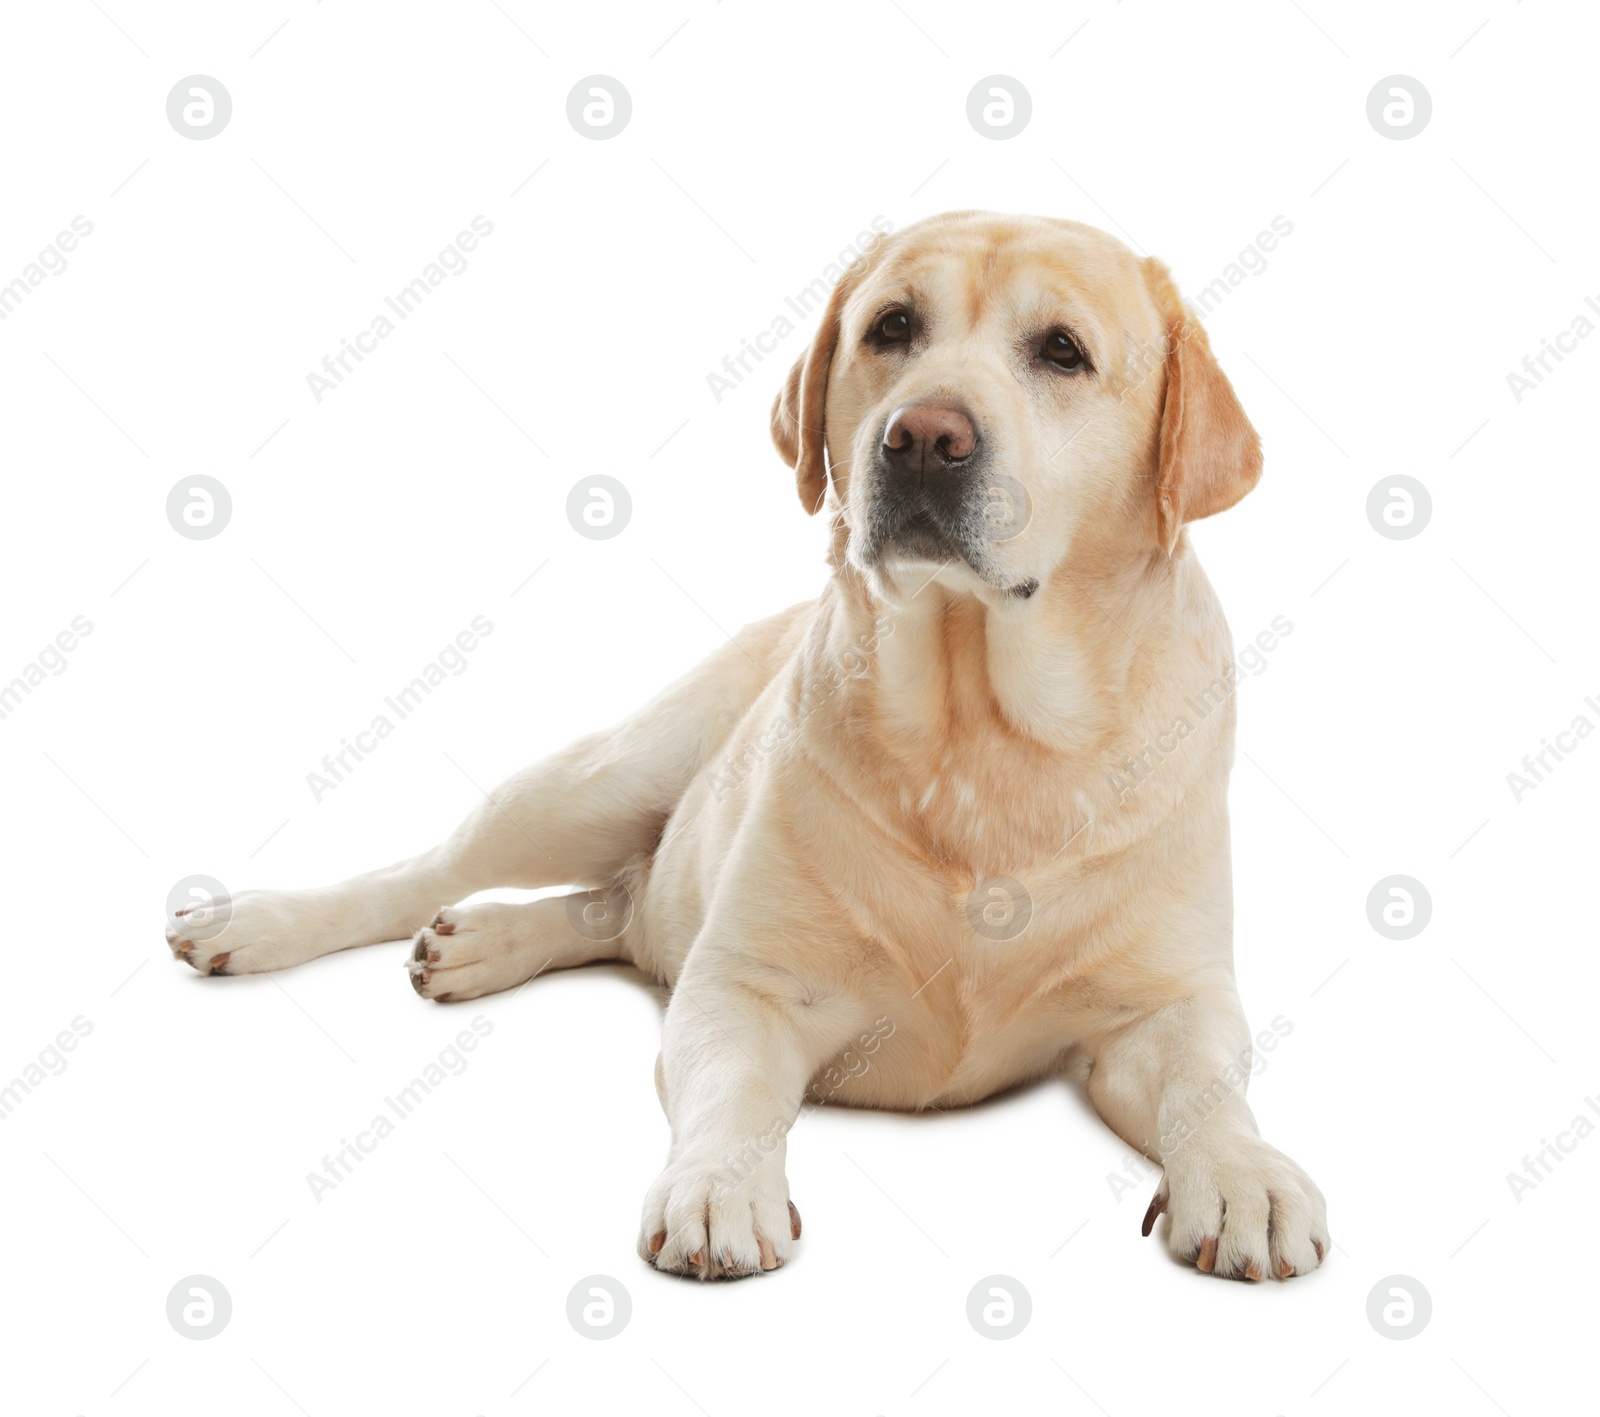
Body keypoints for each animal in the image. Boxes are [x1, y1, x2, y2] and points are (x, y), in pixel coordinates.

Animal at [168, 211, 1331, 1285]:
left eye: (1062, 351)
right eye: (892, 327)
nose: (922, 438)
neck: (978, 726)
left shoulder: (1171, 1004)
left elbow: (1209, 1087)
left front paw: (1245, 1175)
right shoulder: (742, 985)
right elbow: (733, 1088)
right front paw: (720, 1188)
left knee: (619, 906)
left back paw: (483, 943)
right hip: (599, 779)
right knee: (436, 871)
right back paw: (257, 921)